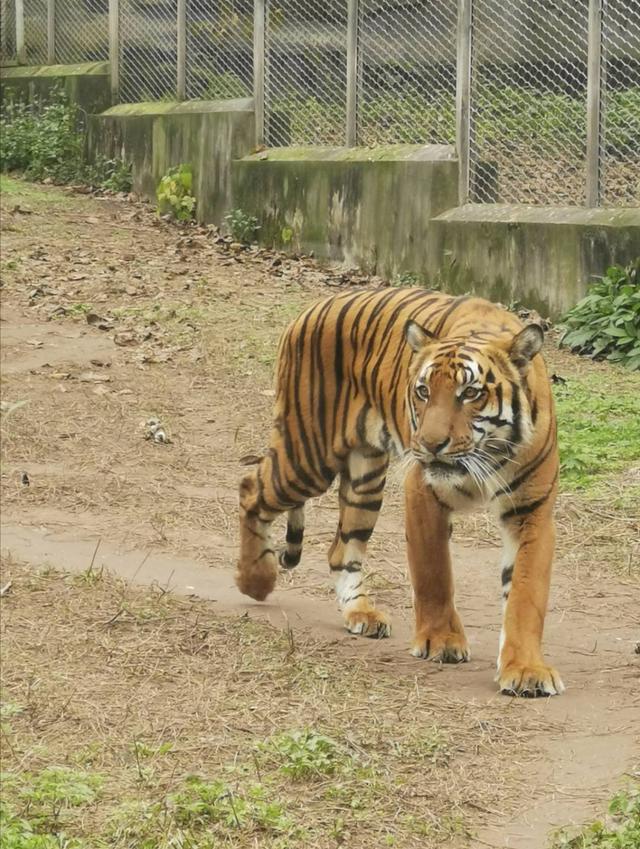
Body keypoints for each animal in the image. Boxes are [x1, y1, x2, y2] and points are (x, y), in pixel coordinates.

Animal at [236, 284, 564, 696]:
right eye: (423, 391)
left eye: (470, 393)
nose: (430, 444)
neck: (487, 451)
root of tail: (311, 307)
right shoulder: (424, 491)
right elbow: (433, 572)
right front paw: (441, 641)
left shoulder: (531, 510)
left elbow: (526, 593)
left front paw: (526, 670)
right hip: (306, 457)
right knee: (250, 488)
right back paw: (255, 580)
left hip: (365, 478)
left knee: (341, 549)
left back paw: (360, 613)